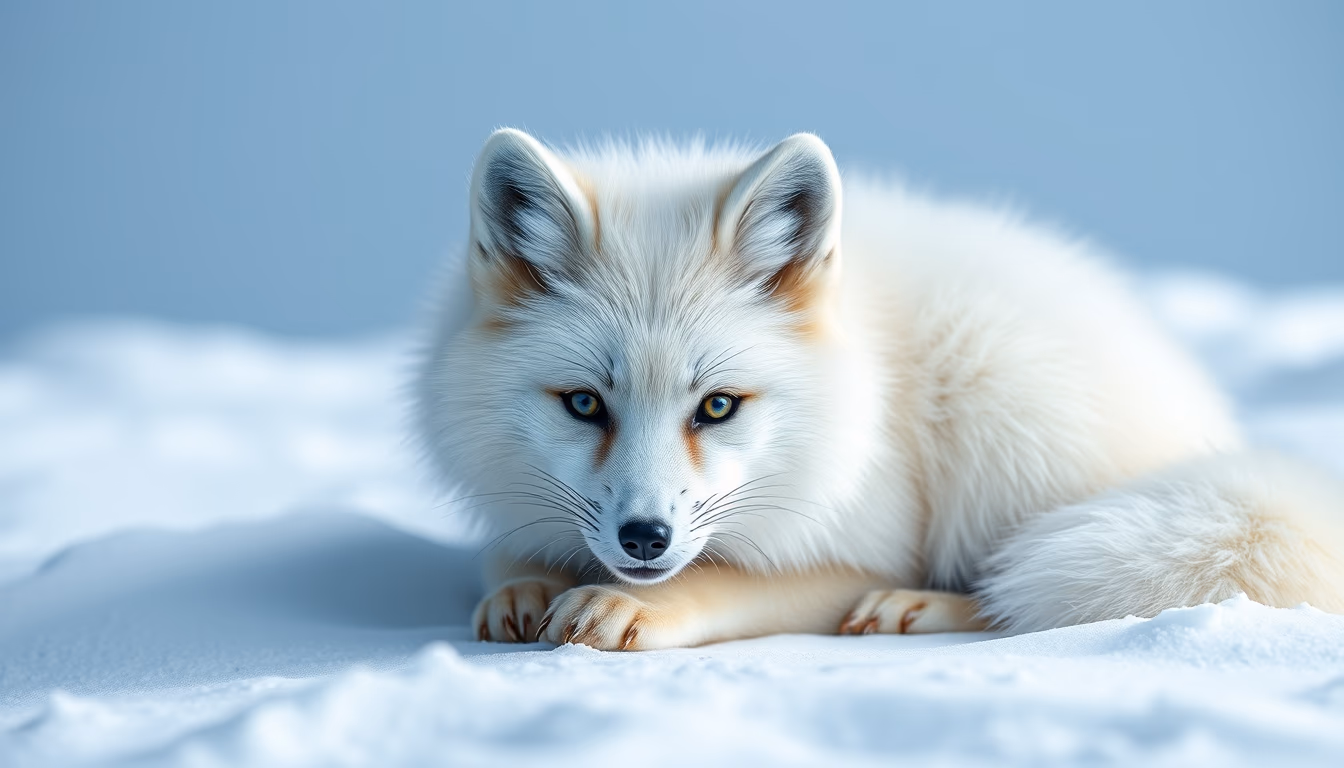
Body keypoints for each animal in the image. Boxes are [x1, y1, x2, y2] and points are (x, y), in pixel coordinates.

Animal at [414, 128, 1344, 650]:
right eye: (584, 404)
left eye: (717, 406)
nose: (644, 538)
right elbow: (508, 559)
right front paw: (525, 587)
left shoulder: (866, 537)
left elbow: (737, 584)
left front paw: (624, 602)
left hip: (995, 397)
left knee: (1027, 593)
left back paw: (926, 609)